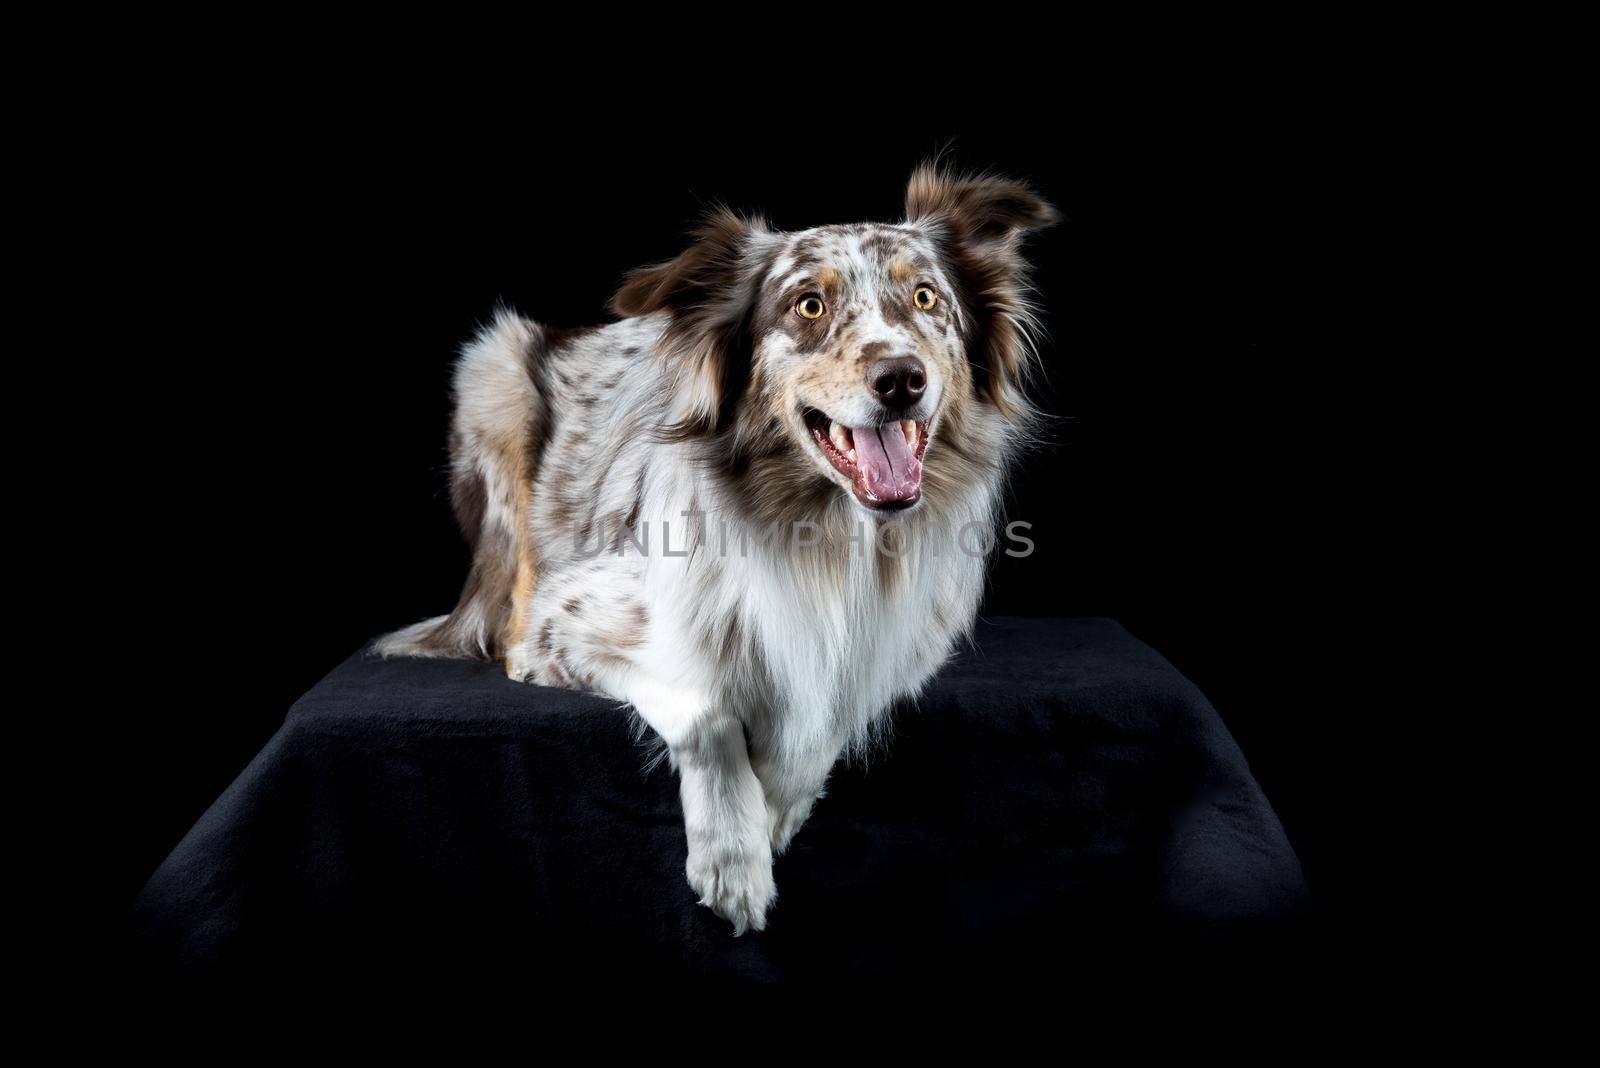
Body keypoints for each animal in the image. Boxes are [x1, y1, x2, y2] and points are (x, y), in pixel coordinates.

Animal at [372, 167, 1049, 933]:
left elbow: (822, 724)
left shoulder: (885, 655)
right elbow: (708, 707)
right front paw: (733, 857)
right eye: (808, 305)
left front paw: (773, 814)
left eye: (927, 297)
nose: (902, 379)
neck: (830, 539)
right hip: (494, 371)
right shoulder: (574, 612)